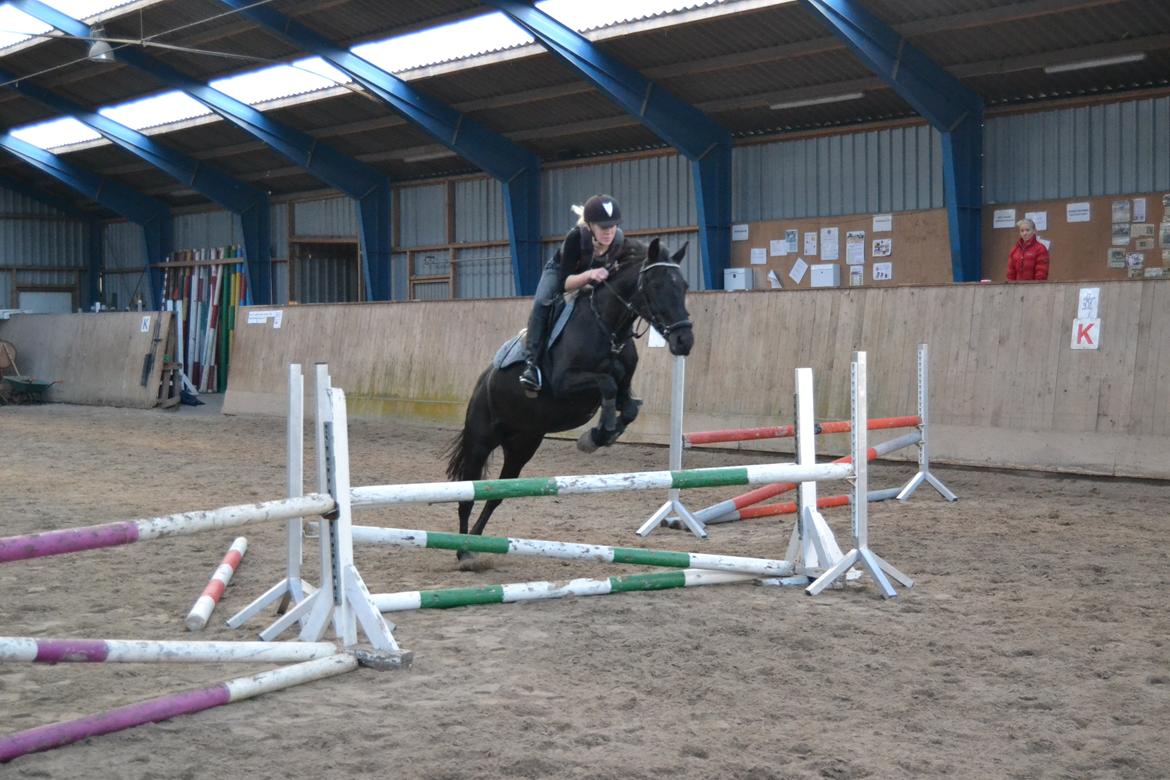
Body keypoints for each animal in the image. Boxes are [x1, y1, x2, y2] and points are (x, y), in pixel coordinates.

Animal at [442, 238, 687, 561]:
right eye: (657, 285)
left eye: (684, 286)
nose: (685, 341)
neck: (607, 329)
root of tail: (483, 381)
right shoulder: (564, 384)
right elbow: (607, 383)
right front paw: (597, 434)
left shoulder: (624, 388)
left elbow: (629, 407)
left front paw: (600, 435)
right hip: (481, 441)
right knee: (467, 493)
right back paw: (463, 552)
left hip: (522, 446)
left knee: (496, 495)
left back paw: (476, 544)